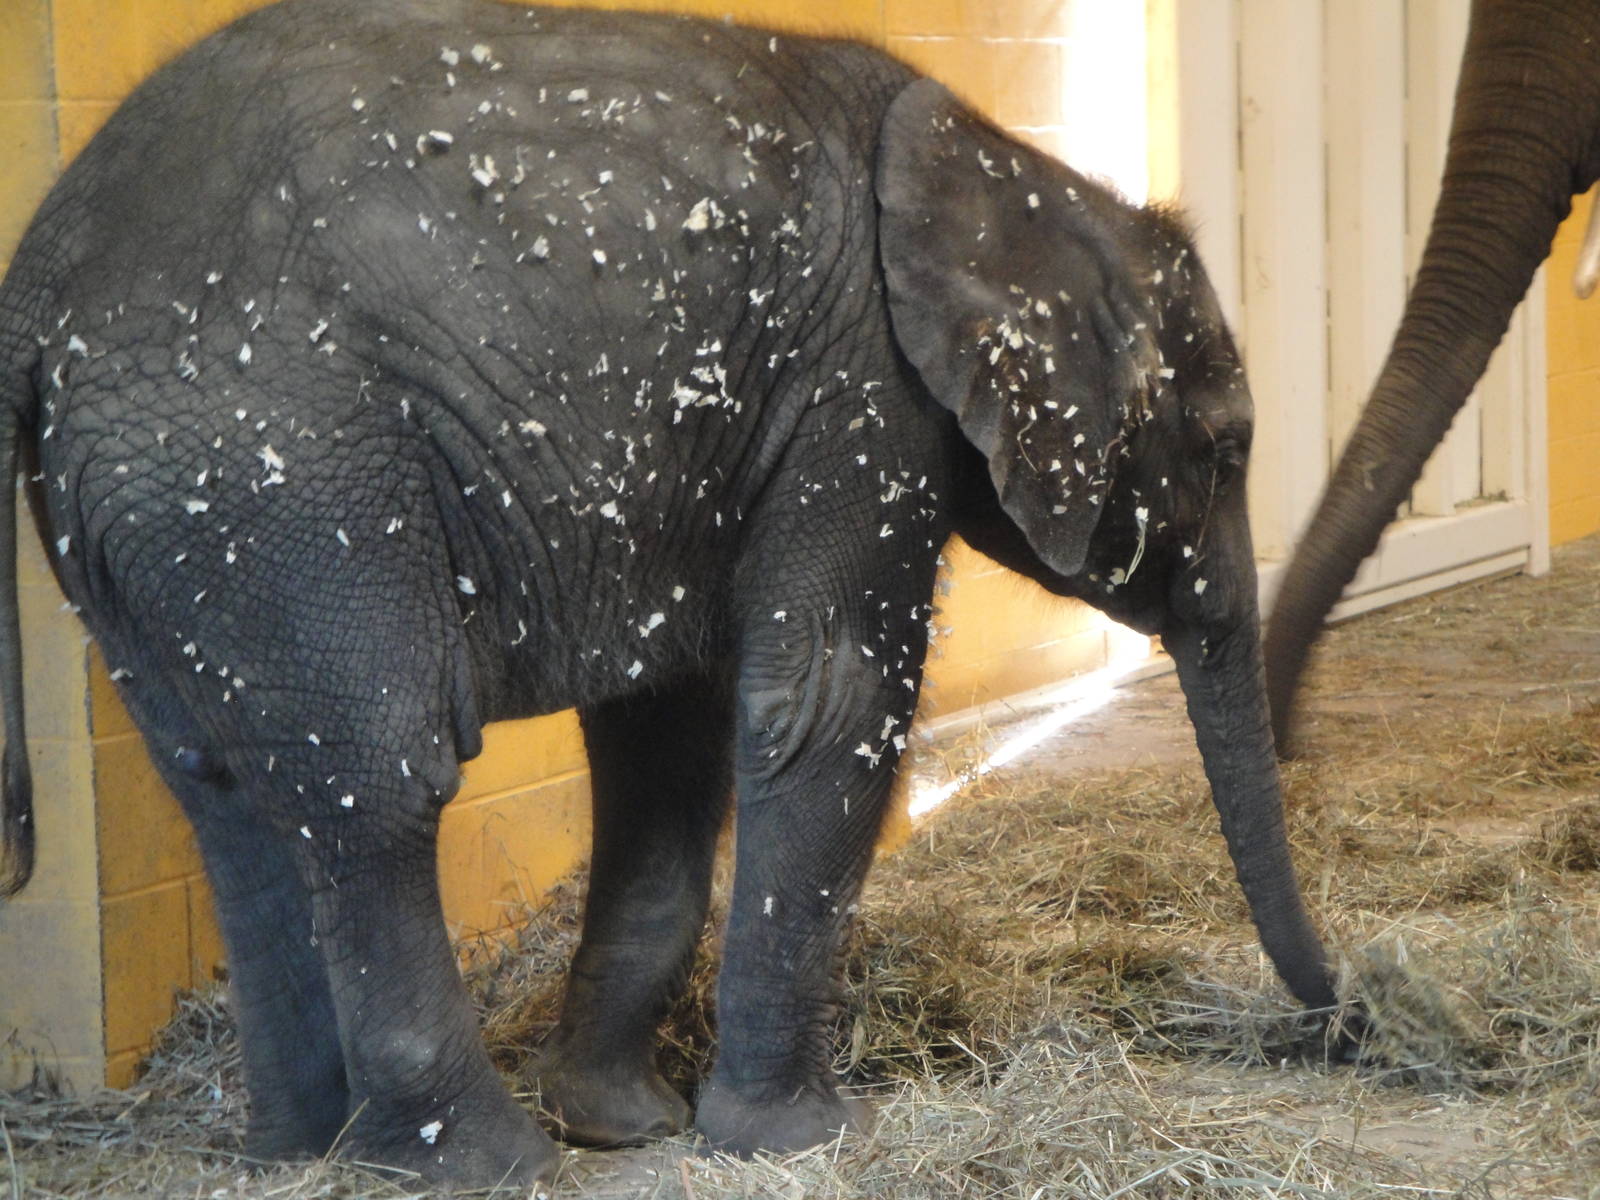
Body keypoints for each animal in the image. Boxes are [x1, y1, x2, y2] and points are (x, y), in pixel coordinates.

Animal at [0, 0, 1344, 1191]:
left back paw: (301, 1156)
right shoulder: (856, 398)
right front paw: (803, 1142)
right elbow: (827, 706)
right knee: (377, 782)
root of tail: (40, 275)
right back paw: (479, 1165)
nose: (1343, 1017)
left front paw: (626, 1124)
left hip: (131, 514)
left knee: (224, 794)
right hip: (271, 470)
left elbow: (670, 735)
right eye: (1224, 445)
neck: (1021, 175)